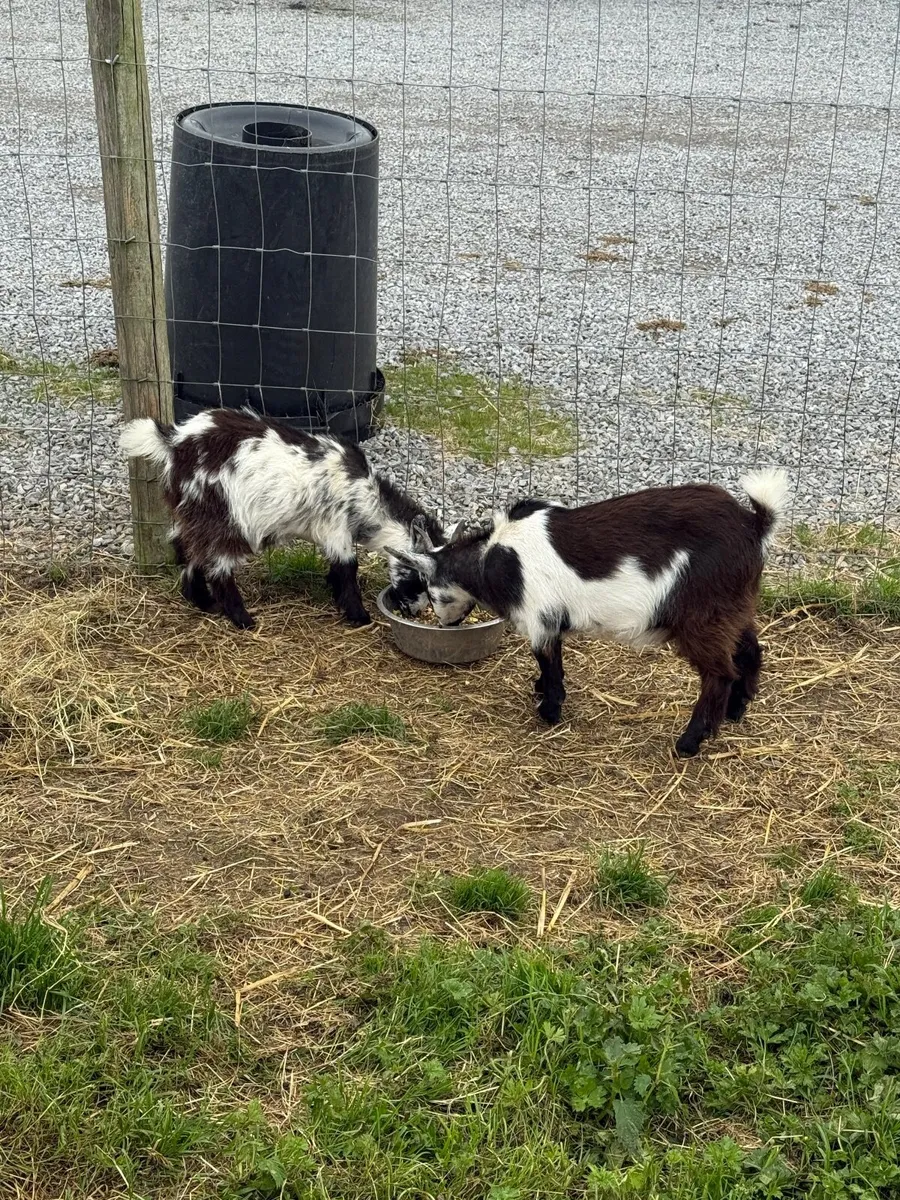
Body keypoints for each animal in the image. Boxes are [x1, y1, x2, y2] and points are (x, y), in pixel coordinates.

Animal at [119, 407, 444, 630]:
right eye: (419, 577)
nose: (416, 612)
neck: (365, 496)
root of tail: (174, 442)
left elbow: (337, 568)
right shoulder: (336, 528)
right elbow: (347, 568)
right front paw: (358, 615)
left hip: (194, 516)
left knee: (192, 557)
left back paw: (204, 602)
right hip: (223, 517)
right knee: (217, 567)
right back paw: (242, 619)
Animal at [390, 469, 789, 756]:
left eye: (429, 589)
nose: (446, 623)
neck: (494, 557)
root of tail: (754, 526)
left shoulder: (540, 615)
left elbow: (548, 660)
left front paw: (549, 712)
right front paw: (540, 693)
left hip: (703, 615)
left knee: (718, 673)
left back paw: (690, 742)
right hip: (734, 606)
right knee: (750, 650)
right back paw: (736, 711)